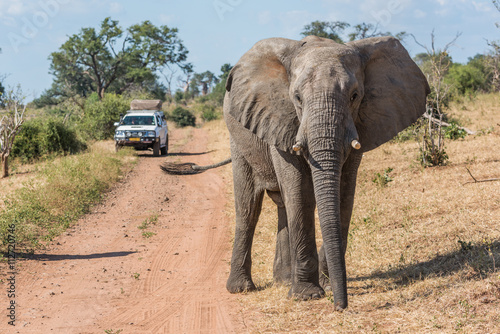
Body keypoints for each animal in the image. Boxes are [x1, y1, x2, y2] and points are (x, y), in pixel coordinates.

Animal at [161, 35, 430, 310]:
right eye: (297, 98)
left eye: (355, 96)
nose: (340, 306)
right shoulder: (280, 118)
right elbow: (299, 191)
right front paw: (307, 294)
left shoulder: (360, 125)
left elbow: (344, 193)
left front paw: (323, 285)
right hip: (238, 137)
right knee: (248, 207)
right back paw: (241, 288)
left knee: (282, 205)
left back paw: (282, 281)